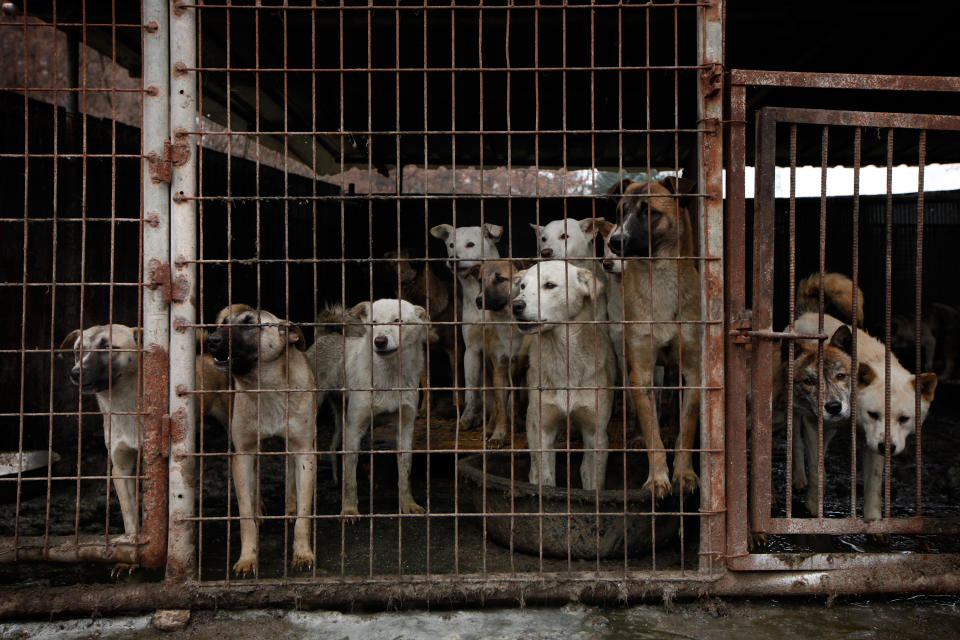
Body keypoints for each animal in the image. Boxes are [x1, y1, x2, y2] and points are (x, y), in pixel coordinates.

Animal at [207, 304, 318, 576]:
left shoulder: (304, 452)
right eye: (224, 323)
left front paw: (303, 553)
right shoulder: (243, 454)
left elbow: (303, 515)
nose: (212, 340)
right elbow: (245, 516)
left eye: (250, 324)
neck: (267, 388)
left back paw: (289, 506)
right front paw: (248, 558)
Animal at [338, 298, 428, 516]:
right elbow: (350, 476)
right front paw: (349, 509)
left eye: (397, 320)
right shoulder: (353, 427)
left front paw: (408, 504)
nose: (379, 341)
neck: (389, 376)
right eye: (374, 322)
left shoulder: (406, 426)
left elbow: (405, 472)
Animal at [510, 260, 616, 490]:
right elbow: (545, 479)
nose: (515, 305)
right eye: (522, 286)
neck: (563, 358)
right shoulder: (543, 431)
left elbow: (592, 480)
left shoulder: (596, 434)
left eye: (550, 285)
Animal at [604, 176, 700, 500]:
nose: (614, 241)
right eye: (620, 212)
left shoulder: (694, 371)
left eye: (650, 212)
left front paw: (684, 474)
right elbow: (651, 432)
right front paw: (658, 478)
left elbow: (687, 428)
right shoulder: (642, 372)